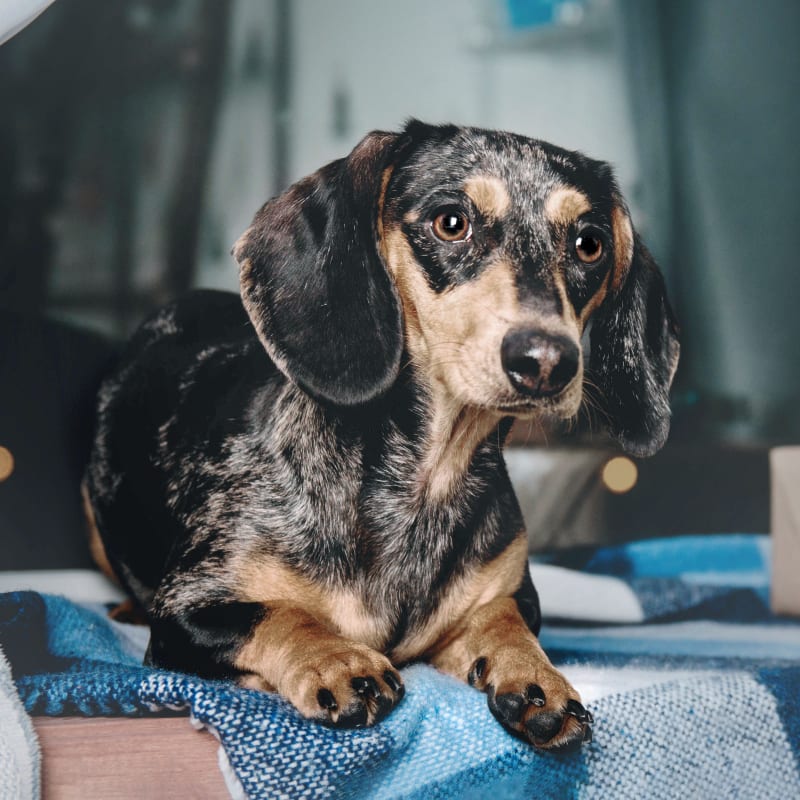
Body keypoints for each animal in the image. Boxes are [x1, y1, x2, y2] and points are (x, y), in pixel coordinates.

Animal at [83, 119, 680, 752]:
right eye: (451, 222)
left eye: (589, 244)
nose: (546, 361)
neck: (423, 487)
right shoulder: (188, 612)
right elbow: (278, 614)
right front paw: (338, 660)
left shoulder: (515, 595)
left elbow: (503, 620)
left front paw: (536, 677)